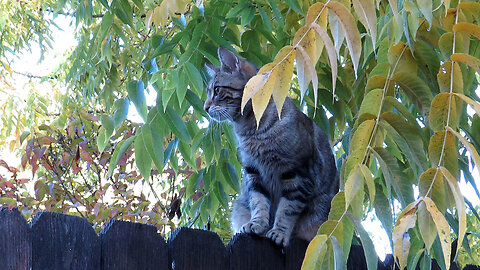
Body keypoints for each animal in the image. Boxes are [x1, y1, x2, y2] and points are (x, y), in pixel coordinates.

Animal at [203, 47, 338, 247]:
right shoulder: (254, 173)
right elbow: (259, 203)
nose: (205, 107)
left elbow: (287, 210)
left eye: (217, 90)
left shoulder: (297, 175)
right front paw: (256, 224)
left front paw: (279, 233)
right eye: (208, 92)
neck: (252, 129)